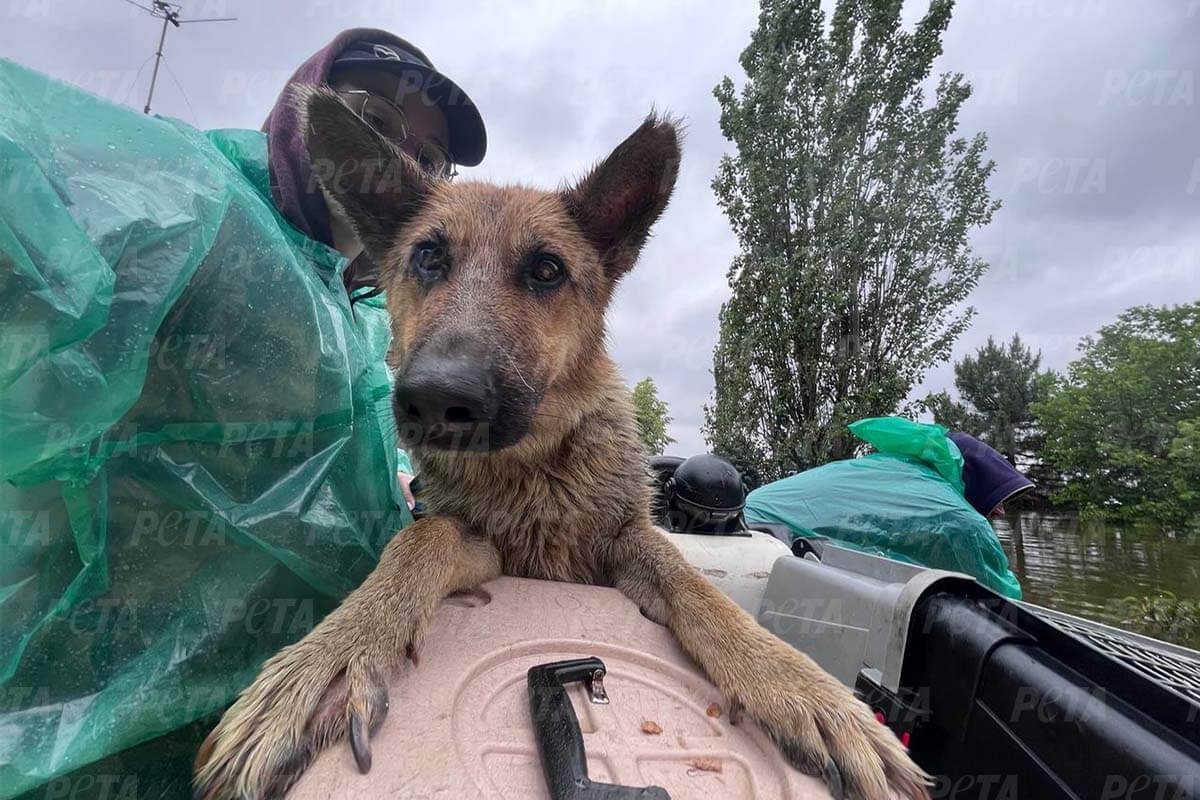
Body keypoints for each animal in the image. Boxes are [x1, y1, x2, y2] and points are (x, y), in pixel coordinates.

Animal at [192, 89, 931, 800]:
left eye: (547, 270)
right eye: (428, 257)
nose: (437, 399)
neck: (535, 469)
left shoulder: (627, 543)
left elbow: (694, 585)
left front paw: (799, 684)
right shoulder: (481, 546)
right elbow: (420, 539)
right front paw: (332, 655)